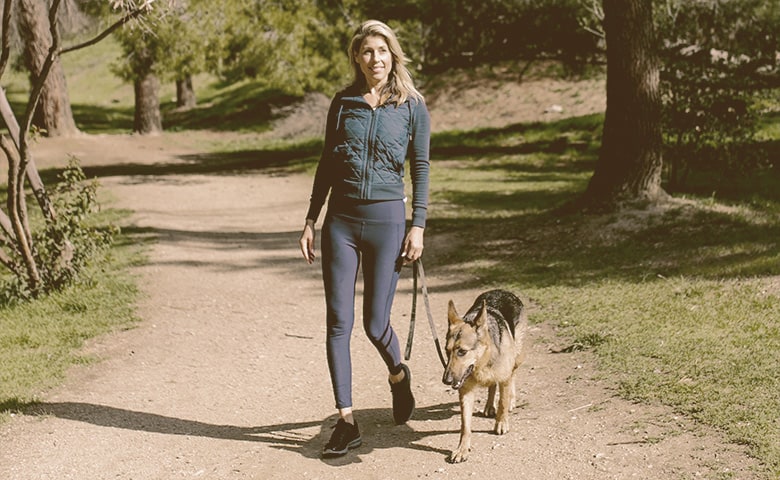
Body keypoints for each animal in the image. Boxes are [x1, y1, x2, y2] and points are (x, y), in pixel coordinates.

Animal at [442, 288, 528, 462]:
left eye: (462, 351)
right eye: (447, 351)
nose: (446, 380)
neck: (481, 363)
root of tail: (501, 290)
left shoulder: (504, 377)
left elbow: (502, 402)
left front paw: (501, 423)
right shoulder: (465, 391)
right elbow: (465, 425)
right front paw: (462, 448)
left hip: (516, 356)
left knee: (513, 375)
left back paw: (511, 400)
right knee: (492, 386)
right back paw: (489, 406)